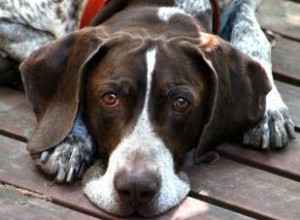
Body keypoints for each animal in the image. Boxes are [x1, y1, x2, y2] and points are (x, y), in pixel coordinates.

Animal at [17, 0, 298, 217]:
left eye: (181, 102)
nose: (136, 188)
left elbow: (251, 34)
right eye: (110, 98)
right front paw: (70, 140)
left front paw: (270, 109)